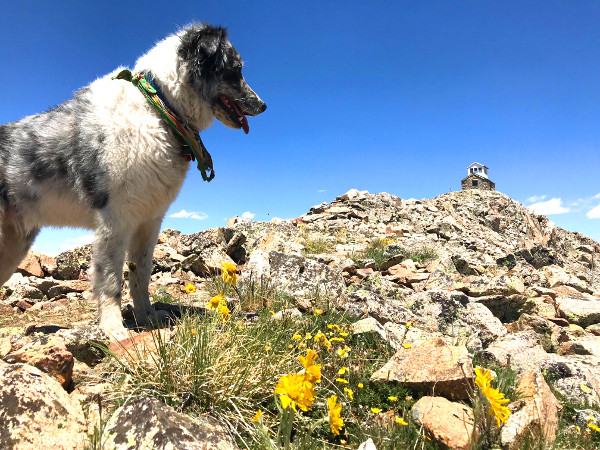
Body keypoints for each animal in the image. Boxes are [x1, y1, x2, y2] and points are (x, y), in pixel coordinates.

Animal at [0, 24, 268, 340]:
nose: (264, 105)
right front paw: (114, 328)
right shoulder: (114, 222)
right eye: (236, 70)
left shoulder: (149, 222)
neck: (160, 108)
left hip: (12, 246)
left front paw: (148, 317)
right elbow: (111, 281)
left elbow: (141, 274)